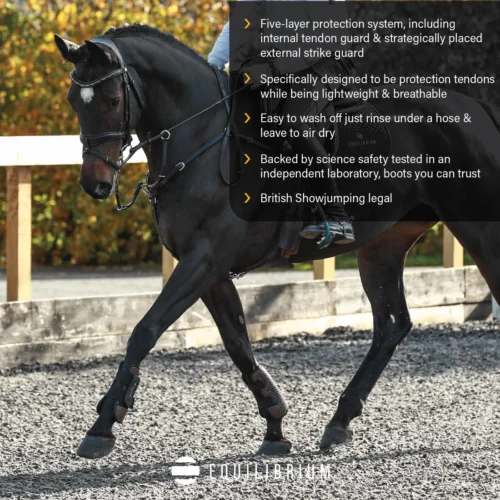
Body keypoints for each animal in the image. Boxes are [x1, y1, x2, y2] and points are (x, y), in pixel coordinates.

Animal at [54, 24, 500, 459]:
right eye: (74, 101)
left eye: (113, 99)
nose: (95, 183)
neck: (201, 137)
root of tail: (475, 109)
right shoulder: (211, 271)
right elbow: (238, 345)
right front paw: (274, 425)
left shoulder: (204, 261)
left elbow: (145, 331)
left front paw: (103, 424)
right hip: (382, 248)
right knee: (391, 325)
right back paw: (340, 420)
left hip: (480, 230)